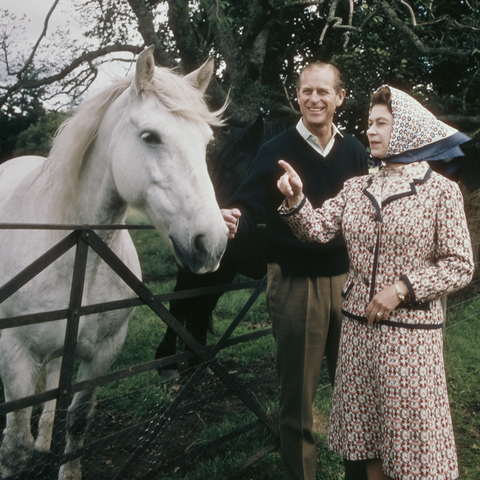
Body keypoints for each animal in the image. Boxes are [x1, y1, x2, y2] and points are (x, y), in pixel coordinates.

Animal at [0, 46, 228, 480]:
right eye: (150, 136)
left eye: (207, 141)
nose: (212, 244)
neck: (80, 251)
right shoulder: (15, 352)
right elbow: (14, 449)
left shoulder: (103, 352)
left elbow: (77, 421)